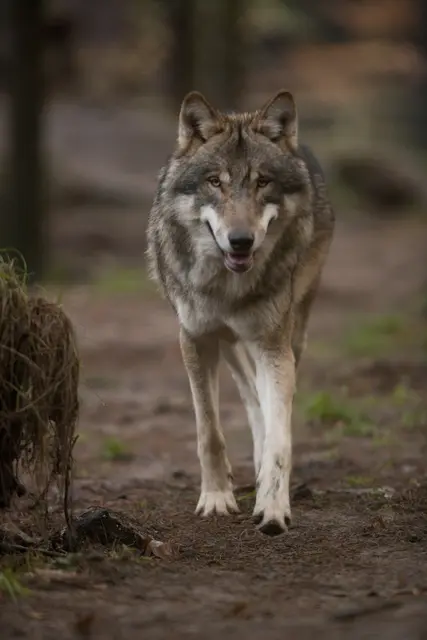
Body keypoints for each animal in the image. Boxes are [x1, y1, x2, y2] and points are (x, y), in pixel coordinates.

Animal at [147, 90, 335, 536]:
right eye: (215, 181)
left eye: (262, 181)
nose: (241, 241)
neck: (227, 287)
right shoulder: (195, 339)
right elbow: (209, 431)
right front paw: (216, 498)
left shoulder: (273, 342)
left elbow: (280, 435)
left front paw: (273, 506)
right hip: (227, 343)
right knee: (250, 394)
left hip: (291, 333)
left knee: (267, 400)